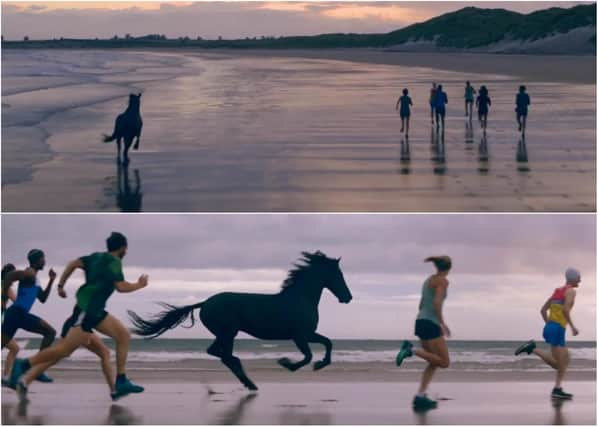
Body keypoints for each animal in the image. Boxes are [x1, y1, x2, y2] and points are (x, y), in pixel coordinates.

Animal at [126, 251, 352, 392]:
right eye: (338, 274)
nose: (347, 297)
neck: (300, 298)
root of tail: (205, 303)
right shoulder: (300, 335)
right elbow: (308, 355)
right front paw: (288, 363)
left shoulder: (307, 334)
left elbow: (328, 343)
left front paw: (319, 364)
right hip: (228, 332)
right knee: (224, 355)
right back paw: (248, 381)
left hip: (225, 333)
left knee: (217, 352)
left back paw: (247, 380)